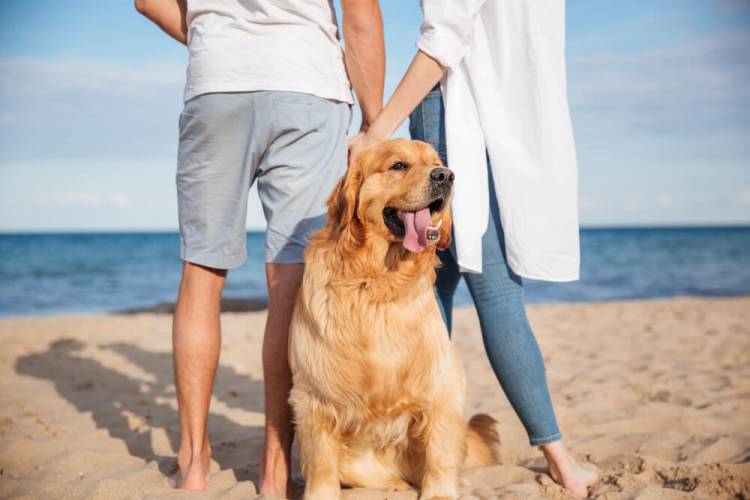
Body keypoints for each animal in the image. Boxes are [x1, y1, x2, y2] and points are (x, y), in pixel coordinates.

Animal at [290, 139, 502, 498]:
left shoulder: (442, 384)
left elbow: (440, 452)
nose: (446, 176)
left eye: (437, 162)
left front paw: (440, 492)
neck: (377, 284)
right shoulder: (314, 394)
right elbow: (320, 464)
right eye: (399, 165)